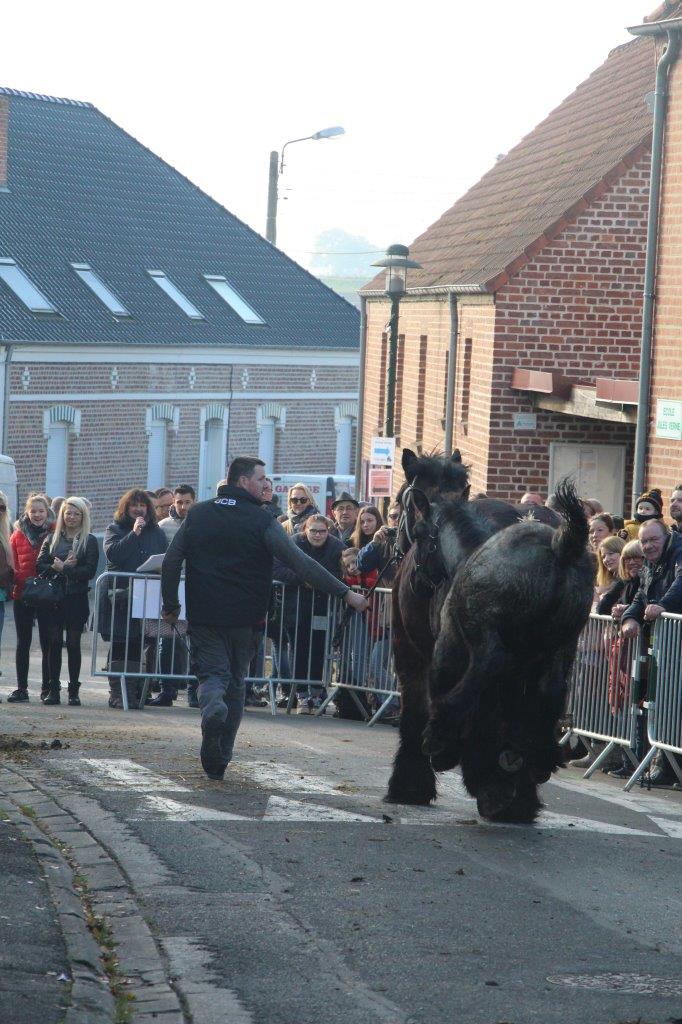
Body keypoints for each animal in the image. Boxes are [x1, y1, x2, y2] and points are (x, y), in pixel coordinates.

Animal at [385, 448, 593, 823]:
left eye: (400, 502)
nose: (416, 576)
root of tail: (561, 546)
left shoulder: (426, 652)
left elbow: (425, 705)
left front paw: (422, 770)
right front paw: (499, 780)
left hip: (488, 641)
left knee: (488, 669)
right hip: (560, 647)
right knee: (550, 691)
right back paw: (532, 764)